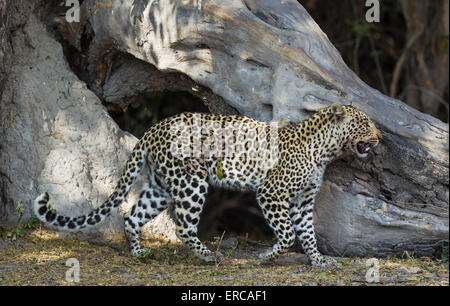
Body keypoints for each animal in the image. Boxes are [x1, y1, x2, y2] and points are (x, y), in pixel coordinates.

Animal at [33, 103, 382, 266]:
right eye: (366, 124)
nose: (380, 139)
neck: (326, 150)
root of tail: (152, 129)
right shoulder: (270, 193)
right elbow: (287, 234)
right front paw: (267, 256)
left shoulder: (303, 200)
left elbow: (307, 234)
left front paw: (319, 260)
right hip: (192, 182)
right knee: (182, 227)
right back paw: (210, 256)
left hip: (161, 187)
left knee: (132, 215)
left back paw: (139, 253)